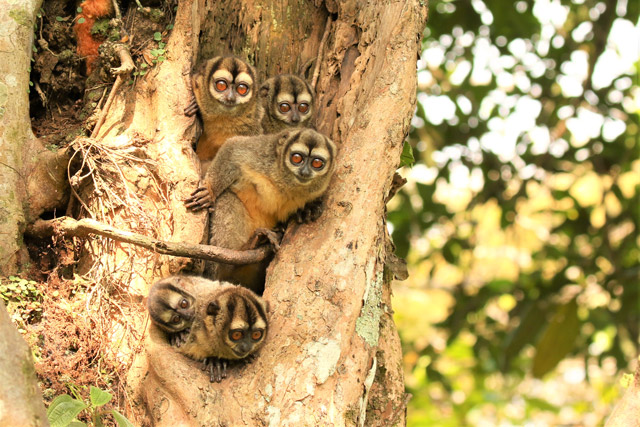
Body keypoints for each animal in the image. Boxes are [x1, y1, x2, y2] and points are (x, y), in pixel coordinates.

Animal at [184, 128, 337, 294]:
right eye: (297, 158)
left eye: (317, 163)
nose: (305, 172)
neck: (287, 183)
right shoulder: (262, 155)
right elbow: (233, 148)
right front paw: (209, 191)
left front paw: (308, 210)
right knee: (226, 198)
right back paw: (248, 247)